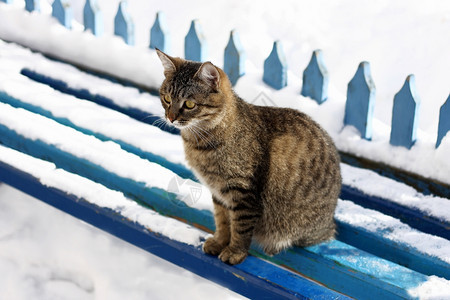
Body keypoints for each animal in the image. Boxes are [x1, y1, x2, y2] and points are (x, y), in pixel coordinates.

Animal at [156, 49, 342, 264]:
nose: (171, 118)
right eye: (167, 99)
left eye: (189, 104)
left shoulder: (244, 193)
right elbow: (222, 221)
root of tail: (330, 220)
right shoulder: (219, 193)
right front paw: (220, 241)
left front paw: (235, 252)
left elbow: (240, 228)